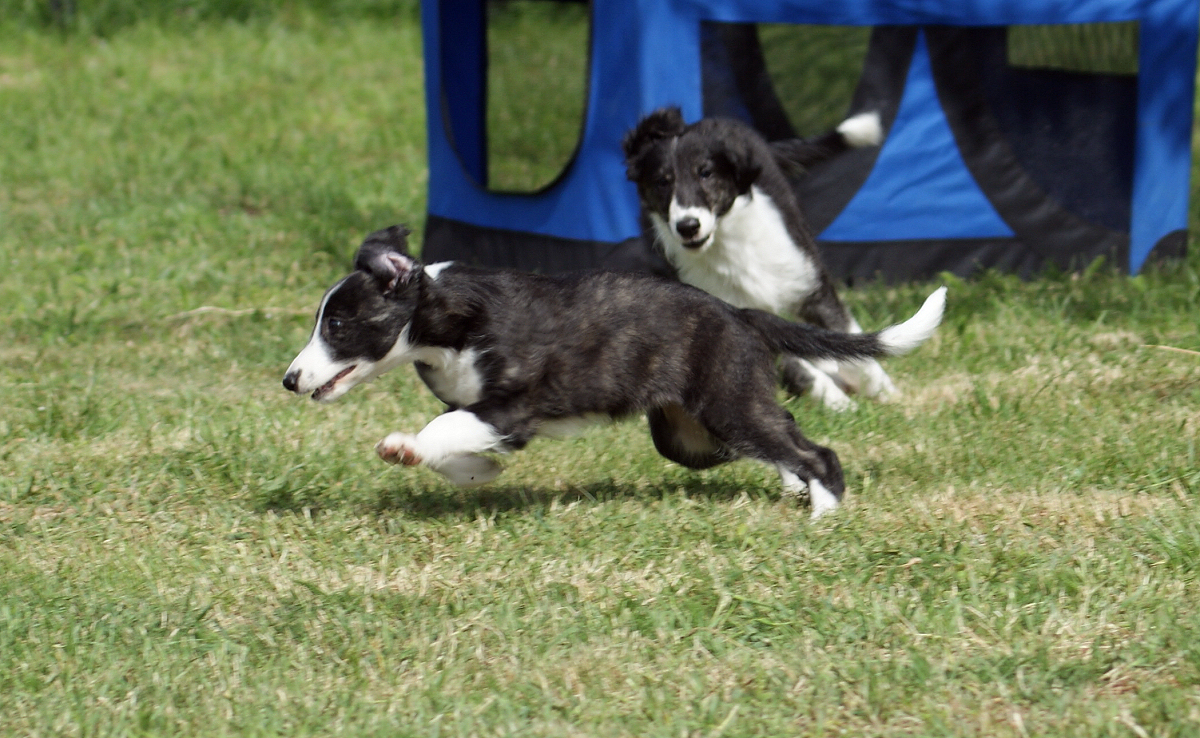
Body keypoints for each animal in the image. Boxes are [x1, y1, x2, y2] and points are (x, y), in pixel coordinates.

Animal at [283, 225, 945, 520]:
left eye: (337, 325)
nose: (289, 380)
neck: (443, 321)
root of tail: (739, 313)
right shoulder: (479, 410)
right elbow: (455, 443)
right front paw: (477, 472)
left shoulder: (511, 407)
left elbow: (440, 432)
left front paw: (404, 448)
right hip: (691, 432)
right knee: (780, 435)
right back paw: (793, 485)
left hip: (726, 401)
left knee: (816, 451)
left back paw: (822, 512)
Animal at [628, 107, 892, 412]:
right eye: (662, 181)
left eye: (705, 173)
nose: (687, 226)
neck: (725, 244)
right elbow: (793, 362)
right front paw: (837, 403)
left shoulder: (807, 281)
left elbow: (845, 332)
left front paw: (882, 391)